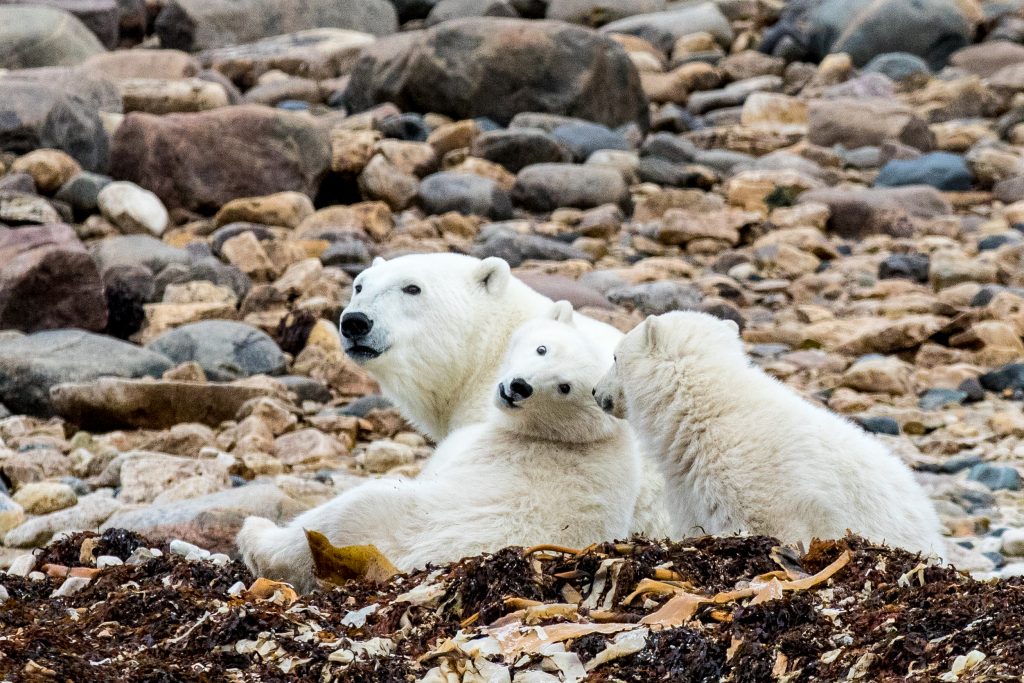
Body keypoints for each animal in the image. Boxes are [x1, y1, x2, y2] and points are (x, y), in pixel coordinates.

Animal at [238, 303, 639, 591]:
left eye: (565, 387)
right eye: (542, 348)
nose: (520, 386)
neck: (566, 439)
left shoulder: (482, 448)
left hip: (389, 526)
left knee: (340, 518)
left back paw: (257, 536)